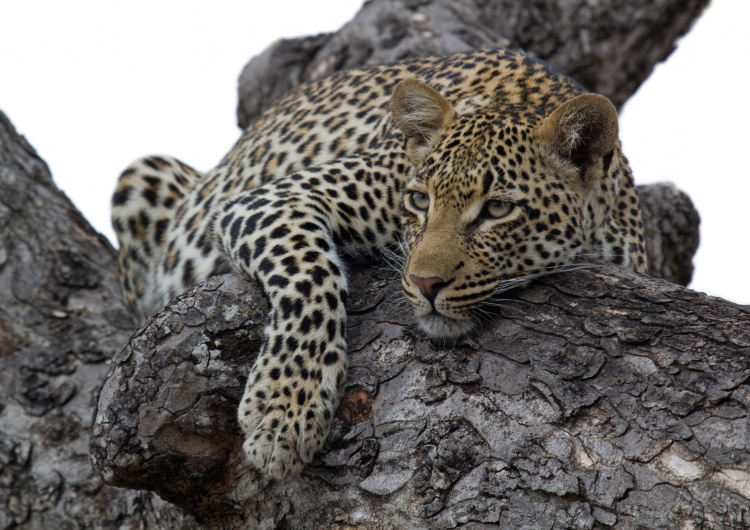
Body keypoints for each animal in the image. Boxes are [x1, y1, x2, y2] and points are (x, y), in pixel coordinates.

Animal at [111, 48, 647, 479]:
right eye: (418, 200)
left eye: (497, 209)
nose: (425, 283)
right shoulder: (269, 199)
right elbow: (311, 276)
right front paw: (285, 411)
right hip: (142, 175)